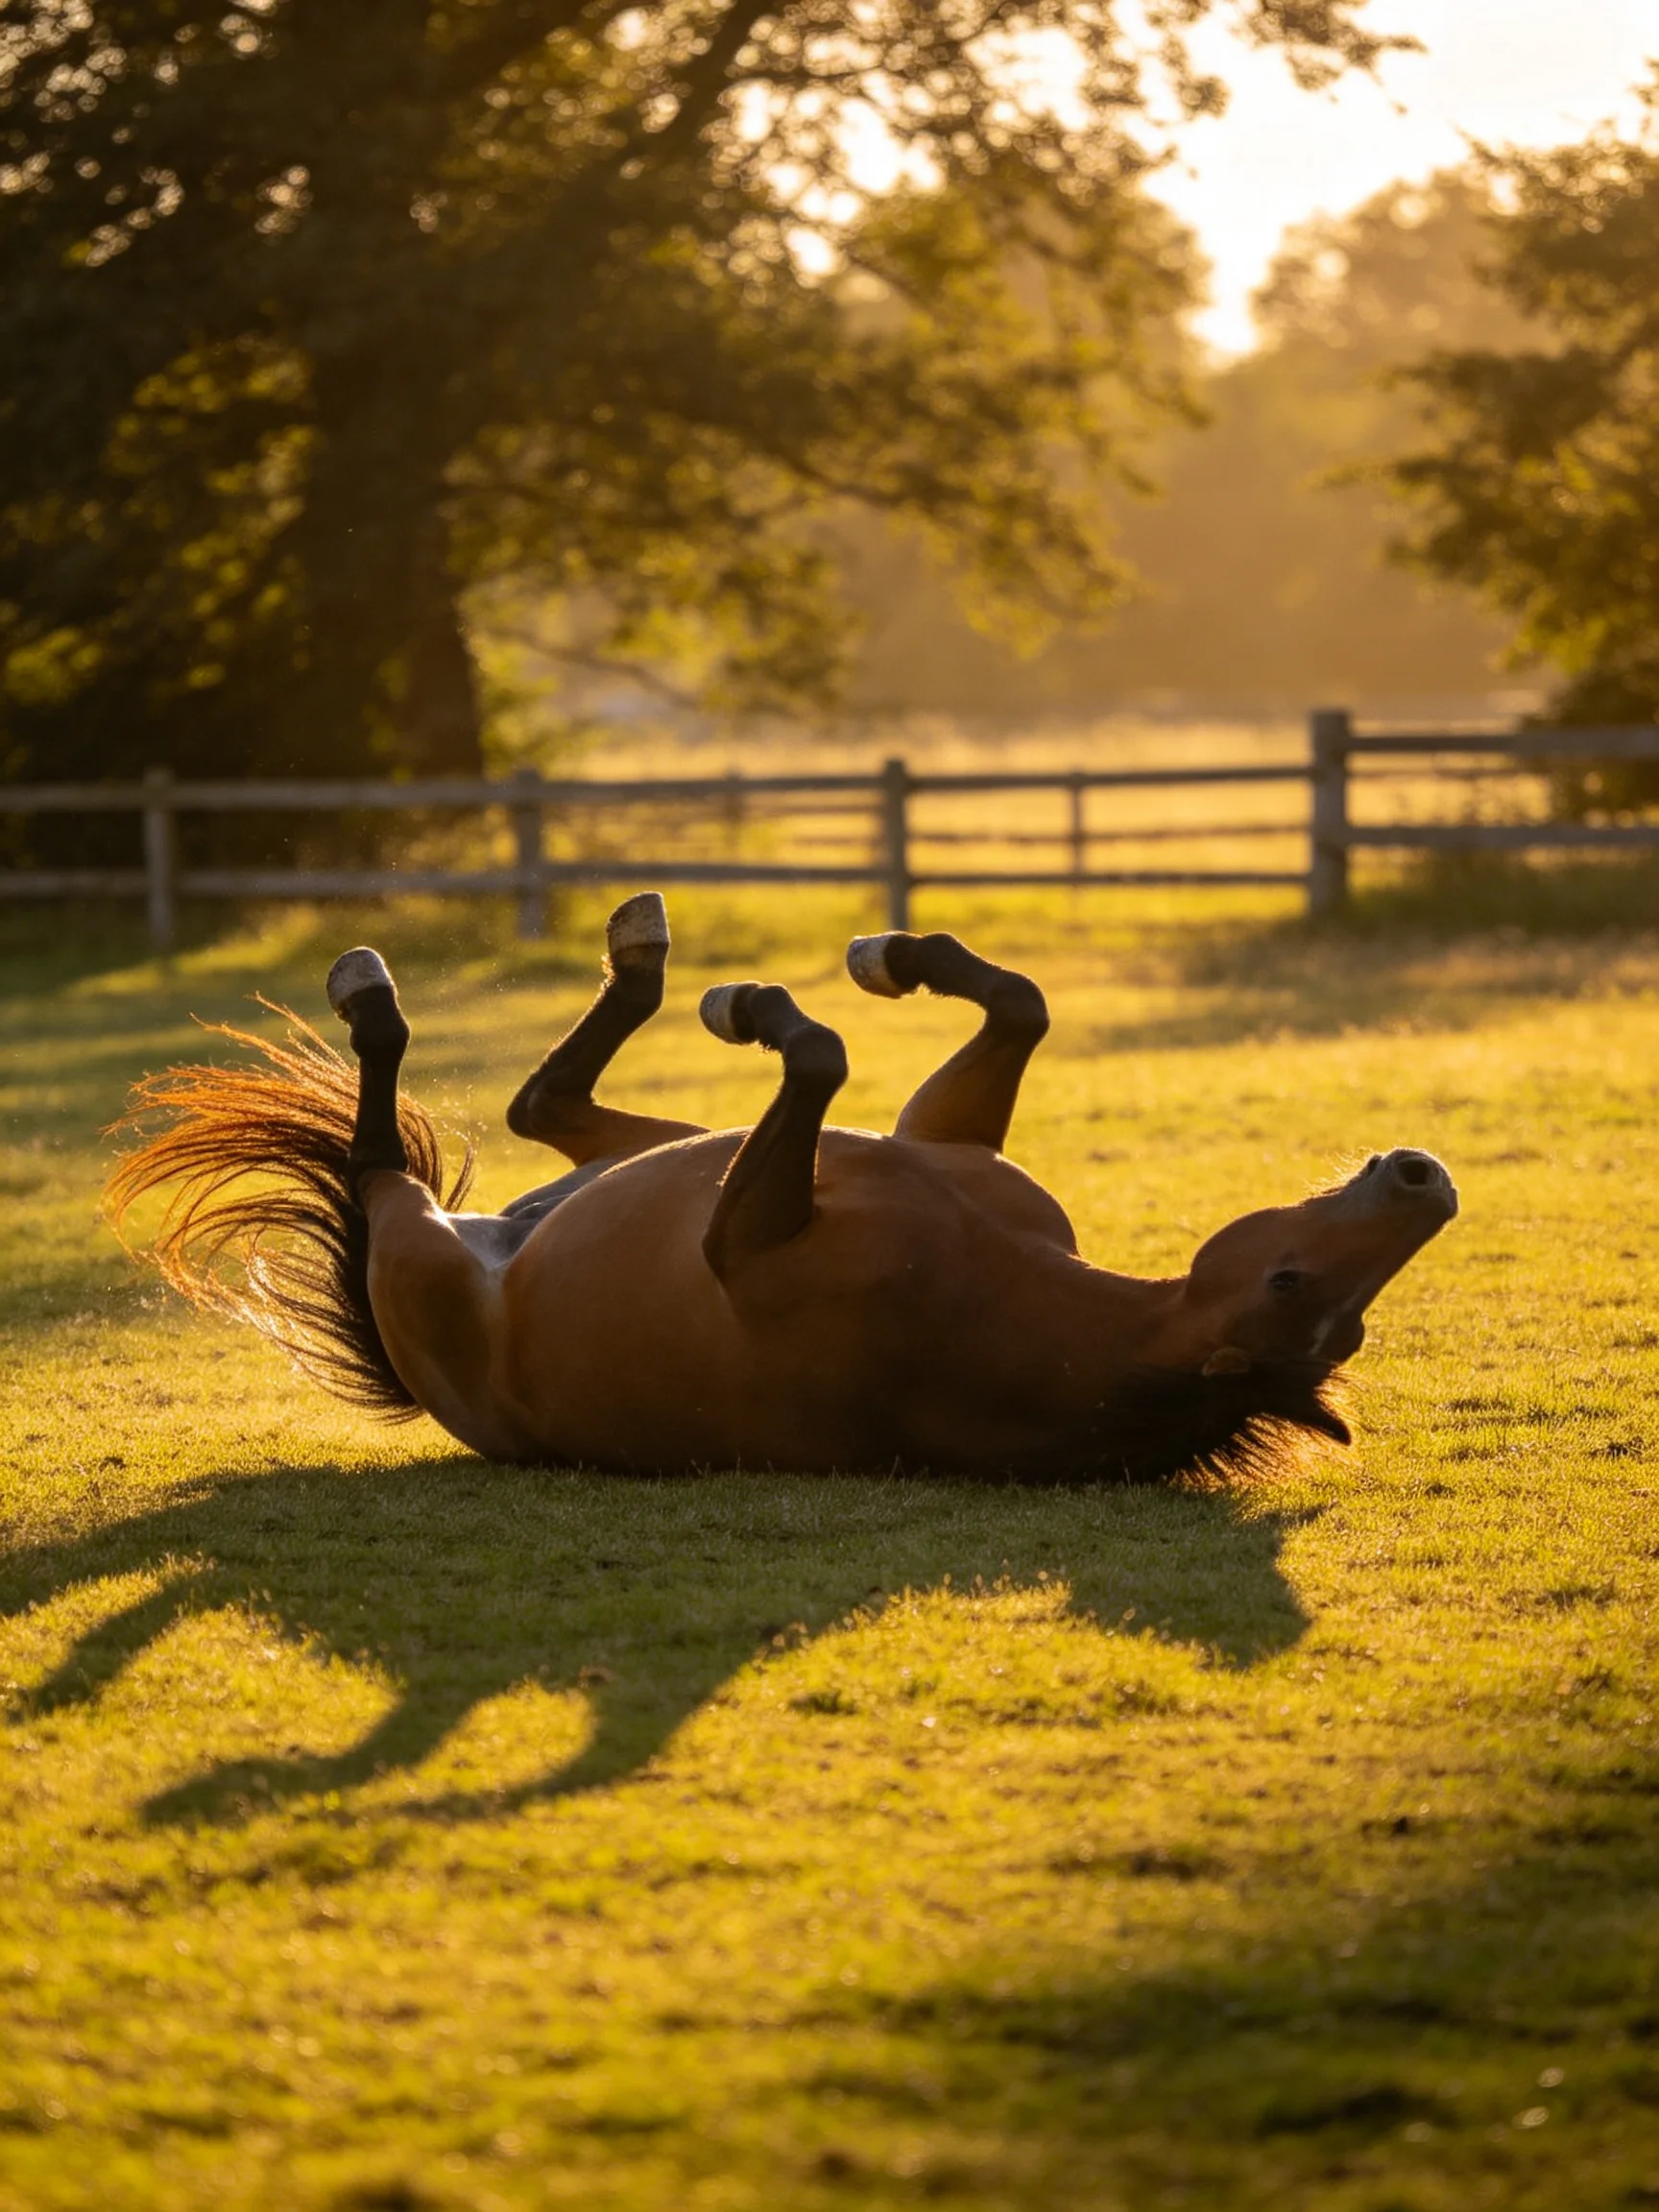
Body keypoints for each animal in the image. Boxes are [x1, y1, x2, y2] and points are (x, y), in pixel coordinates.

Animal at [107, 895, 1457, 1480]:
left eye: (1295, 1287)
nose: (1426, 1182)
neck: (994, 1298)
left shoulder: (741, 1242)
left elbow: (819, 1055)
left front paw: (764, 1004)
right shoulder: (937, 1135)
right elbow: (1018, 1001)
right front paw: (896, 954)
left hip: (416, 1242)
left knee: (386, 1152)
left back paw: (376, 990)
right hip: (626, 1155)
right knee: (543, 1108)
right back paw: (643, 950)